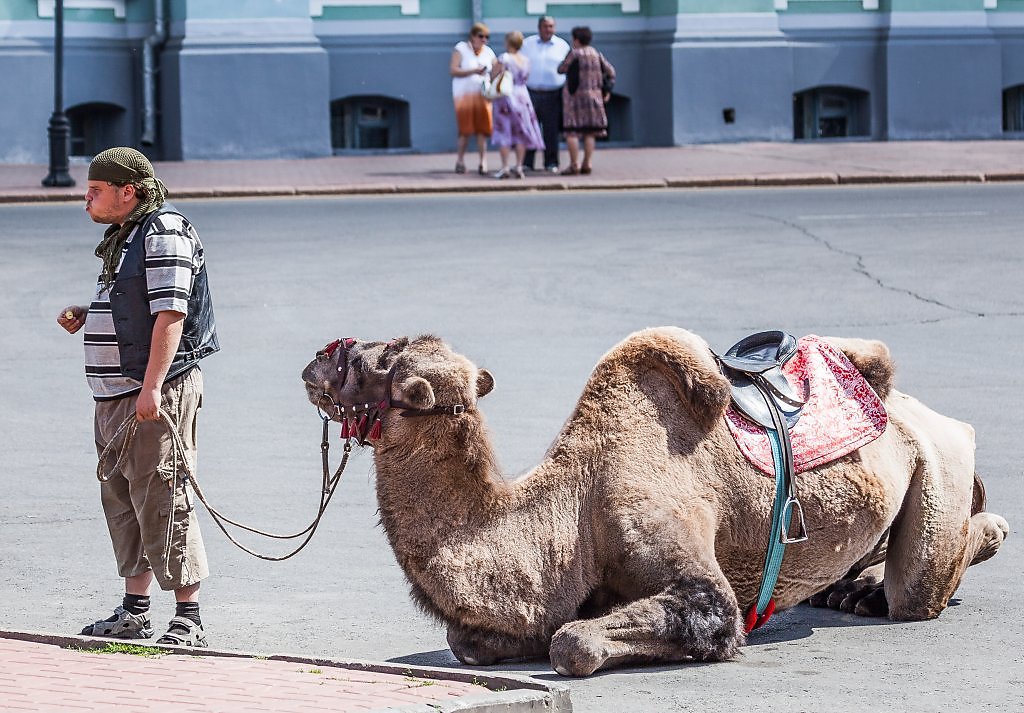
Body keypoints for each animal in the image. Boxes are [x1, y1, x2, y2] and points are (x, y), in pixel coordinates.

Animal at [299, 327, 1003, 672]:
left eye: (380, 360)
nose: (317, 358)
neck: (573, 514)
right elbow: (470, 640)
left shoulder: (685, 559)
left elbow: (575, 643)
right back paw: (850, 590)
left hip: (938, 464)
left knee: (927, 577)